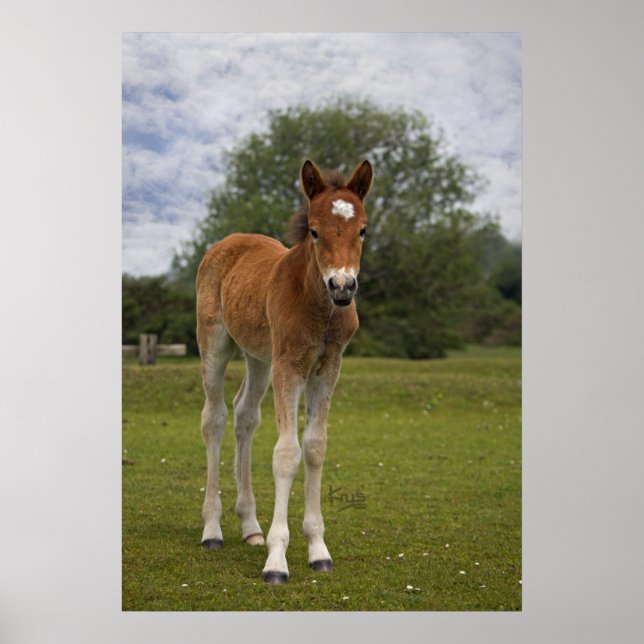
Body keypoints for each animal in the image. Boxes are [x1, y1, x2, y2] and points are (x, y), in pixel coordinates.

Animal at [195, 159, 373, 584]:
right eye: (314, 230)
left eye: (363, 229)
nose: (343, 286)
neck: (319, 307)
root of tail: (227, 242)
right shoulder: (289, 367)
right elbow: (286, 452)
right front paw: (277, 561)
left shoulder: (328, 367)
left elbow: (315, 447)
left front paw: (318, 550)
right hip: (215, 344)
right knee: (214, 417)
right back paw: (212, 530)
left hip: (259, 358)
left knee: (244, 415)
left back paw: (250, 527)